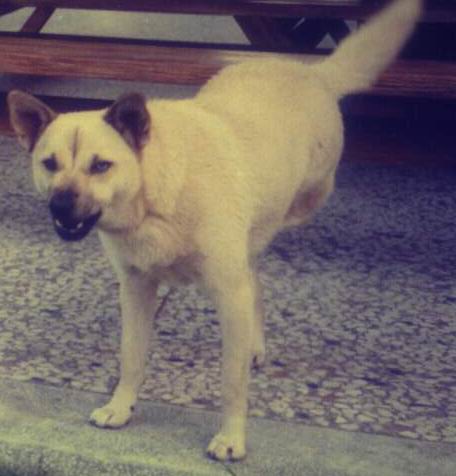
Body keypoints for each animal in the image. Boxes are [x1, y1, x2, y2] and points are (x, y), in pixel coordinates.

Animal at [8, 0, 421, 461]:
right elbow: (131, 356)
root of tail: (311, 72)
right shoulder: (135, 290)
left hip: (308, 194)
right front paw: (121, 406)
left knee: (260, 265)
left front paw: (231, 437)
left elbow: (231, 381)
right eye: (49, 164)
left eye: (101, 165)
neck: (155, 197)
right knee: (255, 278)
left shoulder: (227, 293)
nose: (60, 205)